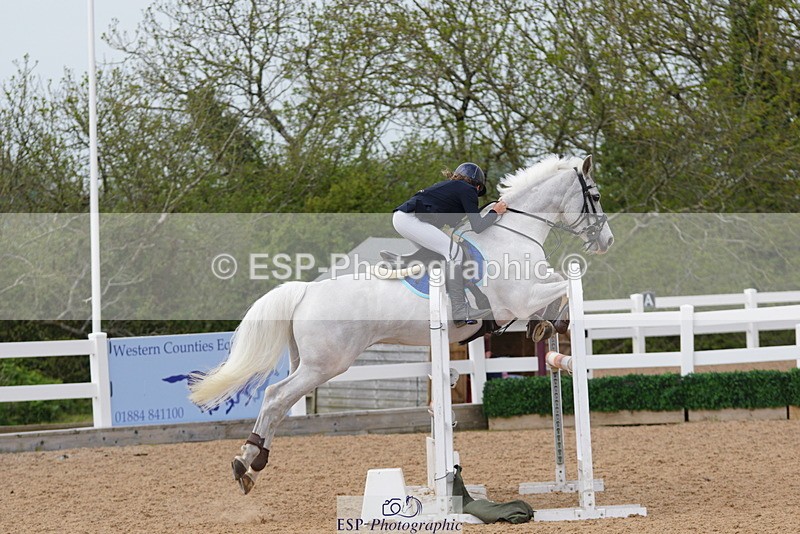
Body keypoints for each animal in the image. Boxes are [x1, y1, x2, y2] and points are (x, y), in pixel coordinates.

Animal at [189, 154, 614, 495]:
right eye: (593, 196)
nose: (606, 241)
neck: (514, 234)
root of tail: (306, 291)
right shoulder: (521, 297)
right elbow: (564, 286)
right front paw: (550, 323)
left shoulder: (523, 298)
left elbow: (557, 291)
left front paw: (542, 327)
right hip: (325, 364)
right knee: (277, 396)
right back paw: (247, 462)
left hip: (307, 362)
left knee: (280, 399)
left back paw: (251, 463)